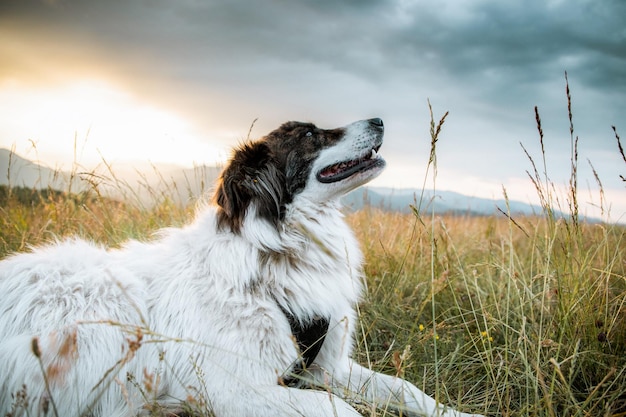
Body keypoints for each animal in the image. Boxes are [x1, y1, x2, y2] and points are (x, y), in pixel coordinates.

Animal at [0, 118, 482, 416]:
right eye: (310, 134)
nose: (380, 120)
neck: (277, 254)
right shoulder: (237, 390)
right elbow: (338, 408)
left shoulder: (325, 366)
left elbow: (408, 390)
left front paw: (457, 413)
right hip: (103, 314)